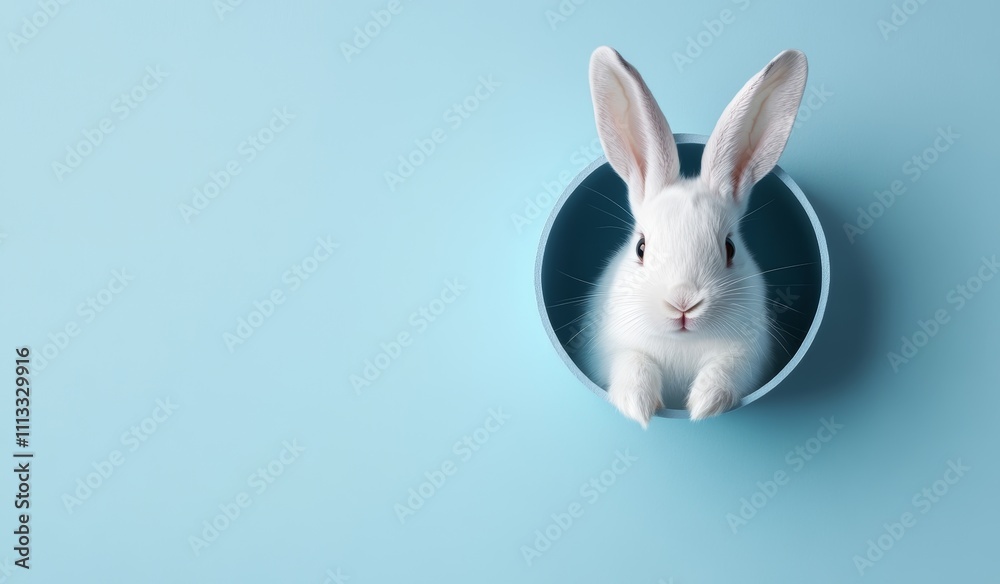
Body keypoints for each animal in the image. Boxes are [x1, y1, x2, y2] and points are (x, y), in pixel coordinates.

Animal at [581, 46, 808, 427]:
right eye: (641, 248)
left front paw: (703, 404)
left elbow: (724, 372)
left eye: (730, 248)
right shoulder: (616, 348)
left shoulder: (745, 356)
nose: (683, 302)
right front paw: (639, 405)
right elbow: (633, 365)